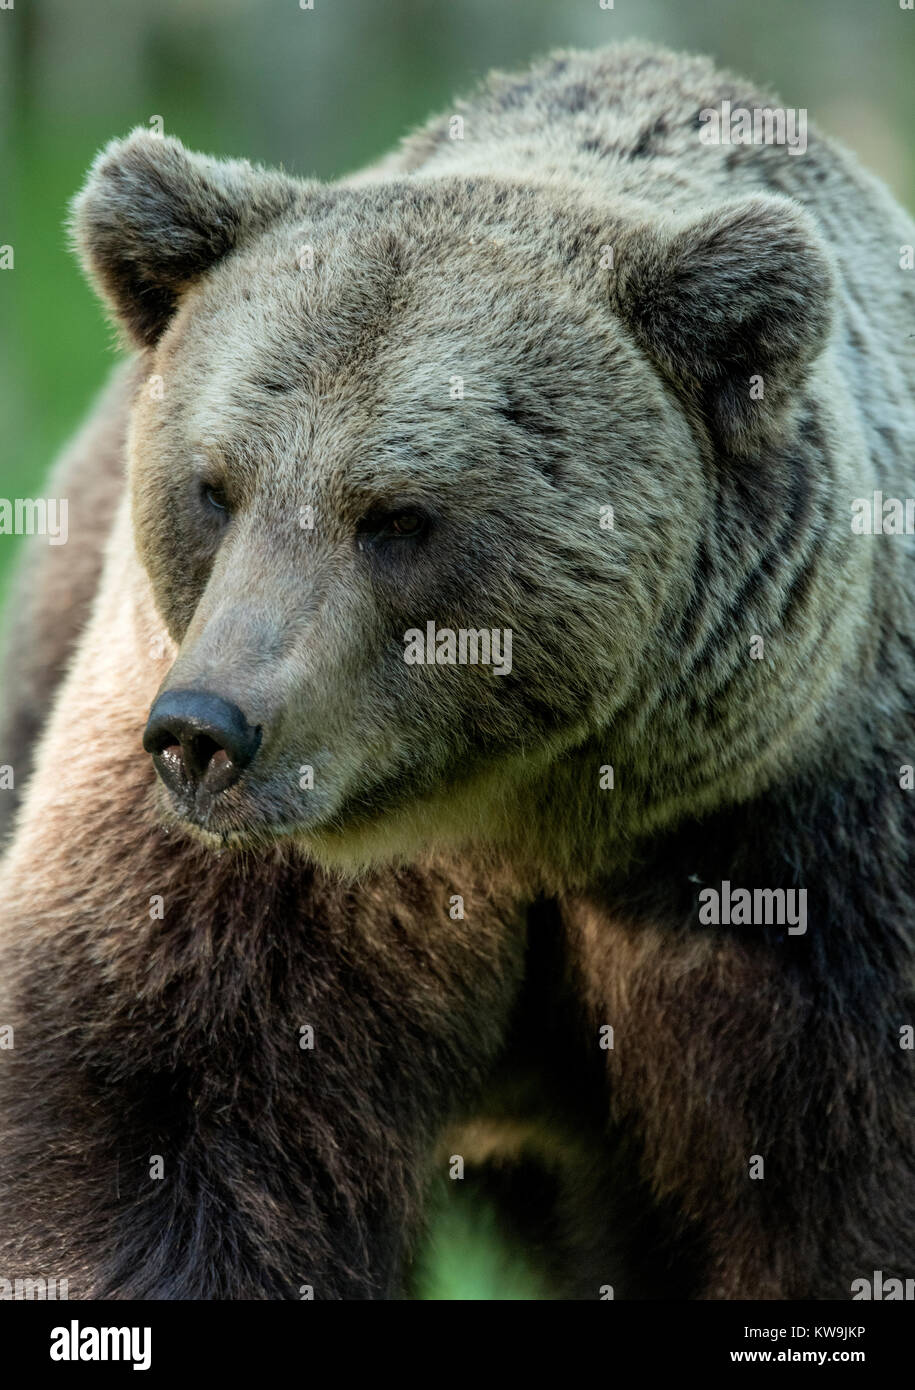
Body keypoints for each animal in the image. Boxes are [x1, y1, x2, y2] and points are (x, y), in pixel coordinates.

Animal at [1, 40, 912, 1301]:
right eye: (214, 485)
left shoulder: (796, 849)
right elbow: (154, 1126)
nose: (204, 731)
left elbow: (838, 1195)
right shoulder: (241, 873)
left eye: (396, 516)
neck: (527, 811)